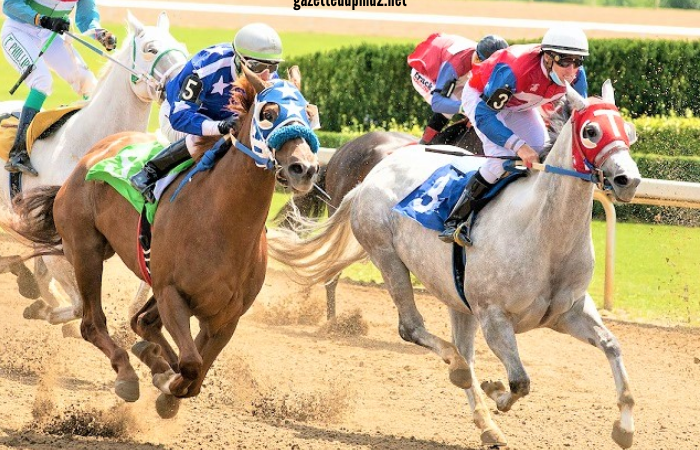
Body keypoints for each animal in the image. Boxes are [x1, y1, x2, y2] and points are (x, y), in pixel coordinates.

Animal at [7, 69, 320, 418]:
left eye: (309, 113)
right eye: (268, 113)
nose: (304, 168)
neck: (222, 222)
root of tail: (92, 153)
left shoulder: (226, 317)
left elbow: (195, 373)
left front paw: (164, 380)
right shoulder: (171, 292)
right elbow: (191, 363)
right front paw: (164, 380)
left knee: (139, 322)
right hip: (86, 251)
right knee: (91, 323)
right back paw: (127, 374)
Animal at [266, 82, 644, 448]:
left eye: (629, 131)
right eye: (591, 131)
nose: (628, 180)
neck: (544, 232)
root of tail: (368, 180)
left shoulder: (569, 311)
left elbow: (612, 346)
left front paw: (625, 427)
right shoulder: (494, 317)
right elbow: (520, 381)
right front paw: (496, 390)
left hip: (455, 296)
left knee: (464, 352)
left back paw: (487, 426)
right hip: (386, 256)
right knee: (416, 331)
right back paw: (456, 371)